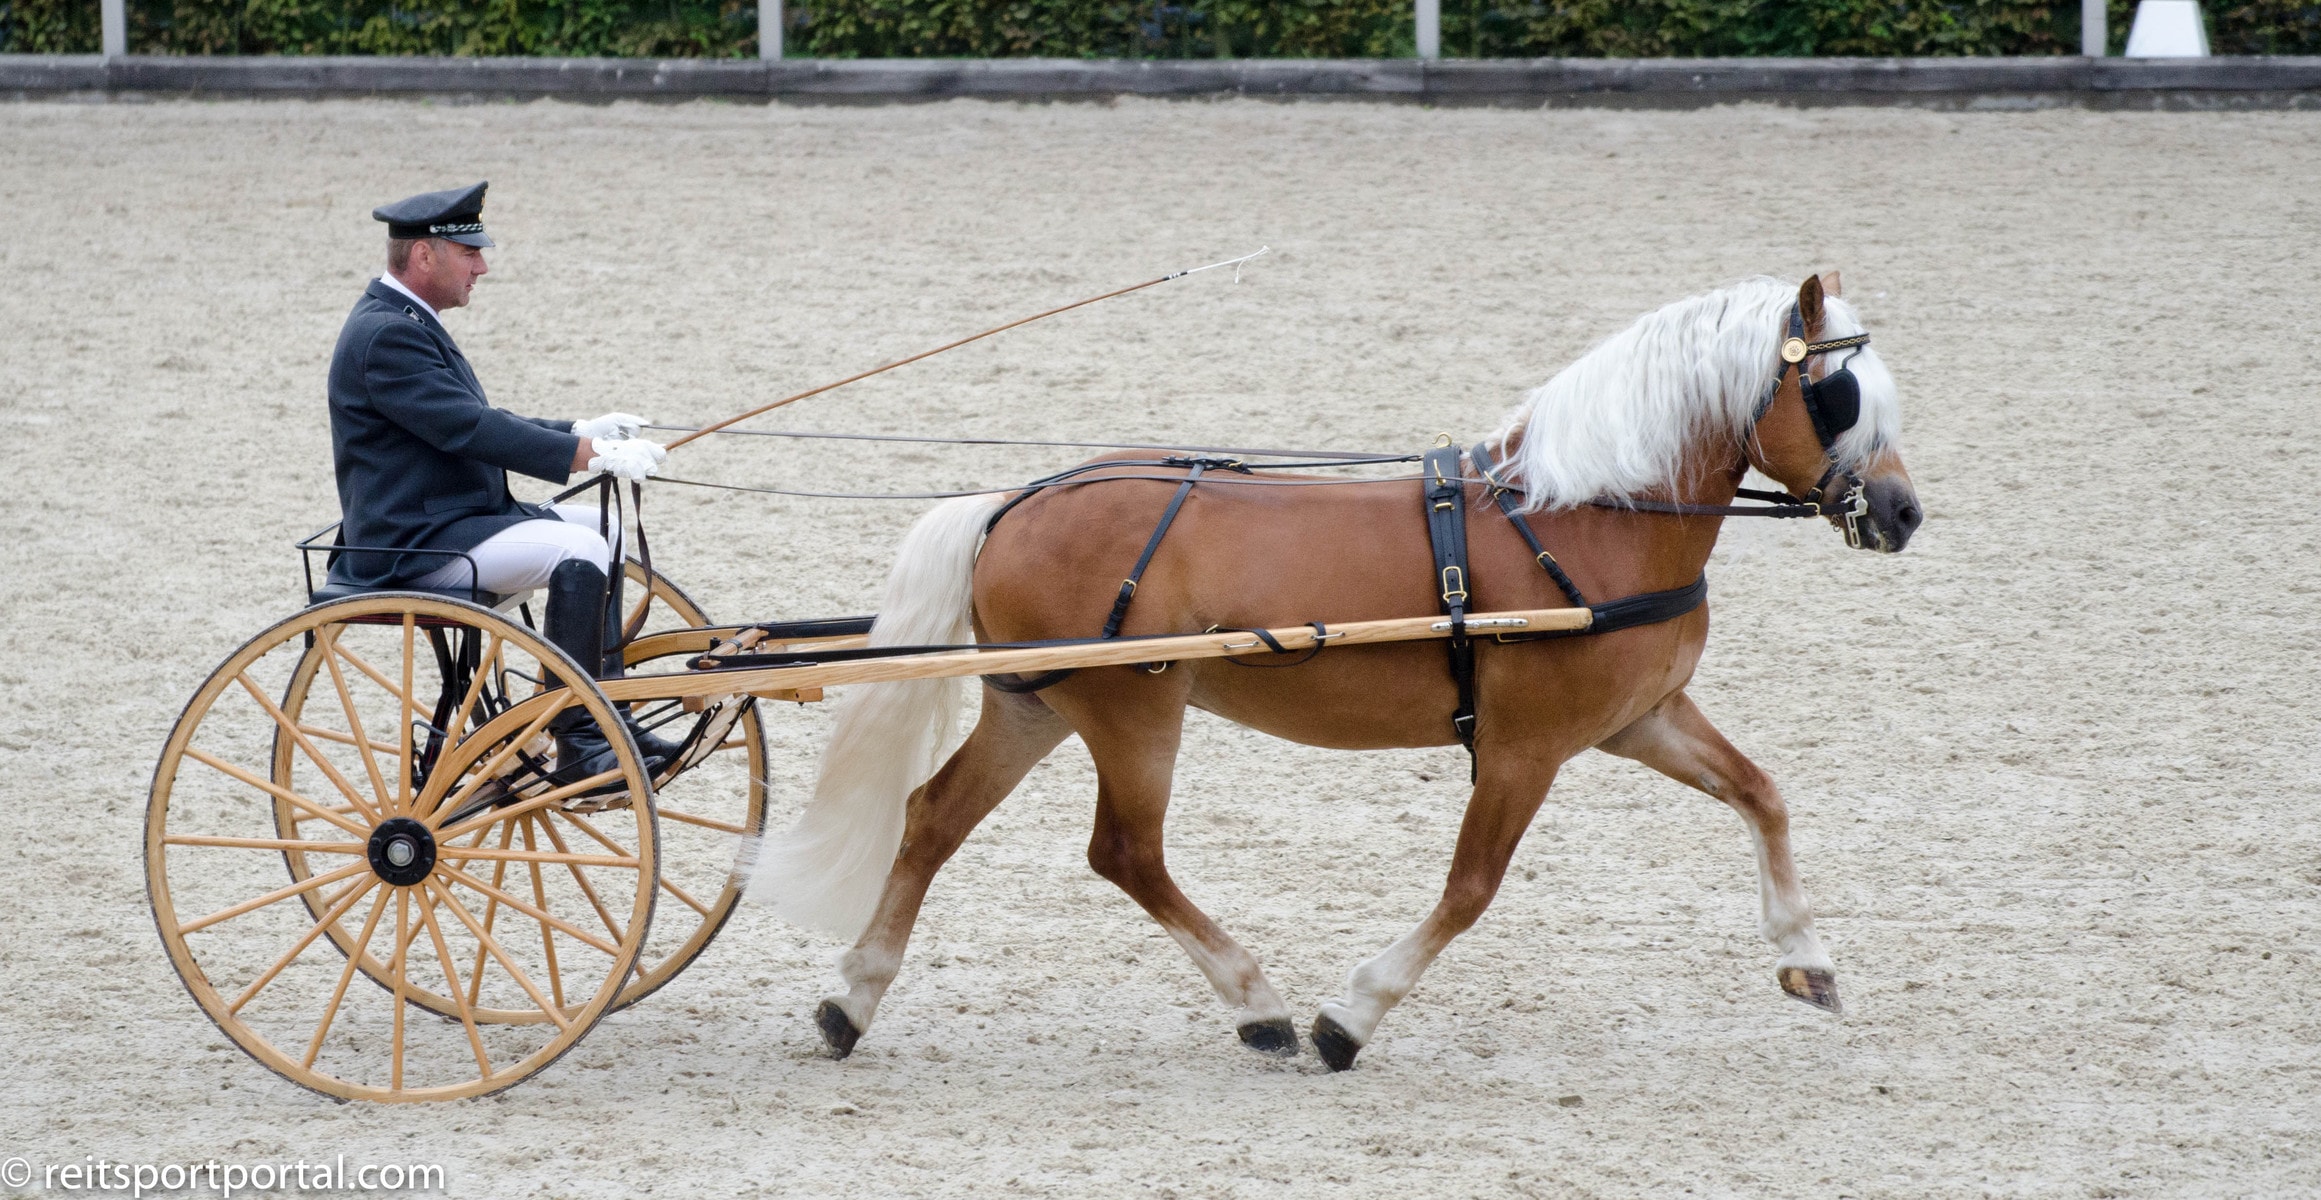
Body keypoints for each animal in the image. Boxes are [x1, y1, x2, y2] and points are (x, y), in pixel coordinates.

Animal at [742, 271, 1921, 1067]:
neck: (1579, 516)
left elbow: (1761, 794)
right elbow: (1468, 889)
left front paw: (1806, 957)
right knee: (1125, 852)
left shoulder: (1643, 717)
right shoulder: (1525, 748)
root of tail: (1012, 502)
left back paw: (852, 1000)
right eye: (1836, 395)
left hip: (1037, 707)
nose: (1902, 514)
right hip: (1133, 710)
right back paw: (1257, 1003)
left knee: (935, 817)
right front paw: (1348, 1016)